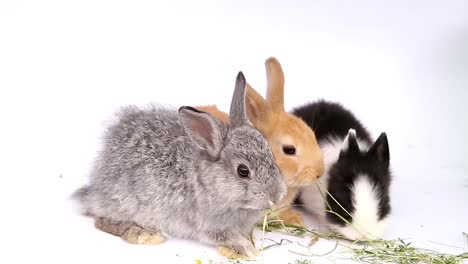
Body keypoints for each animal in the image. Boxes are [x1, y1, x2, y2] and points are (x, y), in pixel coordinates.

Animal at [72, 71, 288, 258]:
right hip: (127, 203)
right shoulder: (208, 224)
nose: (276, 196)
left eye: (271, 155)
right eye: (243, 171)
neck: (210, 183)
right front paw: (247, 250)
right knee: (103, 220)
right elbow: (224, 236)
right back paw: (144, 234)